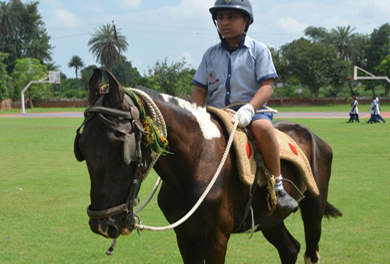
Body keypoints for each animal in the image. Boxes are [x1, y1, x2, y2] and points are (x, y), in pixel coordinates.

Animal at [74, 68, 342, 264]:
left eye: (122, 147)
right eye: (82, 149)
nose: (102, 224)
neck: (197, 162)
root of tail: (313, 136)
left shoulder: (217, 238)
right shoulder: (185, 236)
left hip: (313, 208)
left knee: (310, 252)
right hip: (269, 218)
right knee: (290, 249)